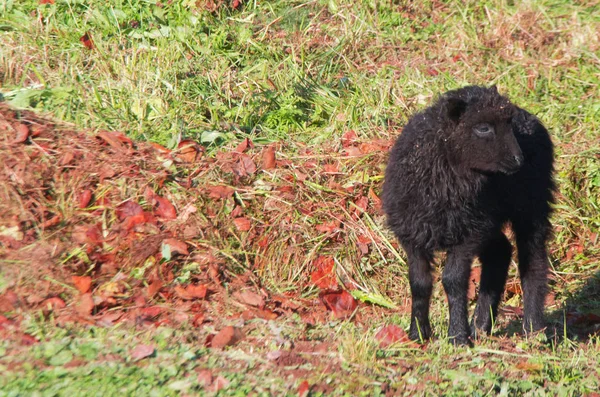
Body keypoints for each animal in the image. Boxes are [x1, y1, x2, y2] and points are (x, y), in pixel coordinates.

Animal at [382, 84, 556, 344]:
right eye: (483, 128)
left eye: (508, 125)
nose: (518, 160)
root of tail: (528, 115)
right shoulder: (414, 234)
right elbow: (419, 283)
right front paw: (418, 334)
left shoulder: (467, 236)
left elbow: (453, 280)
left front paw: (457, 336)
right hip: (485, 219)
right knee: (500, 253)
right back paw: (481, 326)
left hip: (531, 203)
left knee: (533, 259)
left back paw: (533, 328)